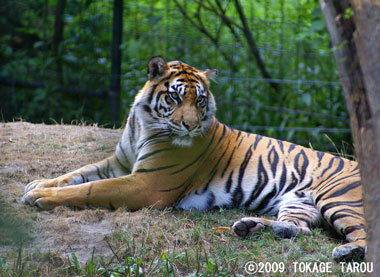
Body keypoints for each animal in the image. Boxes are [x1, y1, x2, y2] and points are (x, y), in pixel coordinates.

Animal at [23, 56, 366, 260]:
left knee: (363, 234)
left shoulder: (146, 183)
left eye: (200, 100)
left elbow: (89, 189)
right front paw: (37, 185)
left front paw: (41, 197)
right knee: (301, 229)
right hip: (298, 203)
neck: (144, 125)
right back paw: (250, 227)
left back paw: (348, 251)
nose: (189, 125)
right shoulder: (119, 163)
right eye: (174, 96)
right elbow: (77, 175)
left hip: (338, 198)